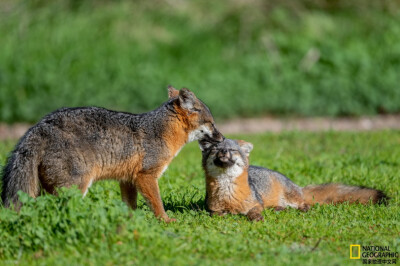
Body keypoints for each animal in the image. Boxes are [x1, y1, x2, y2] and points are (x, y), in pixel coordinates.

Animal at [1, 87, 223, 222]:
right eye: (212, 124)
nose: (221, 138)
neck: (162, 130)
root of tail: (40, 125)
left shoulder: (128, 179)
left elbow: (130, 206)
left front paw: (130, 223)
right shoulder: (146, 176)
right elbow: (157, 203)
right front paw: (165, 220)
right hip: (77, 187)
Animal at [200, 138, 388, 221]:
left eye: (232, 150)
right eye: (215, 150)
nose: (223, 152)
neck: (228, 193)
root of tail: (296, 185)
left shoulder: (257, 203)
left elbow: (254, 211)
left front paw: (255, 217)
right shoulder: (211, 208)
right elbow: (216, 213)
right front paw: (224, 214)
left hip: (293, 198)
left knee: (304, 203)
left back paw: (302, 209)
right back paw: (278, 209)